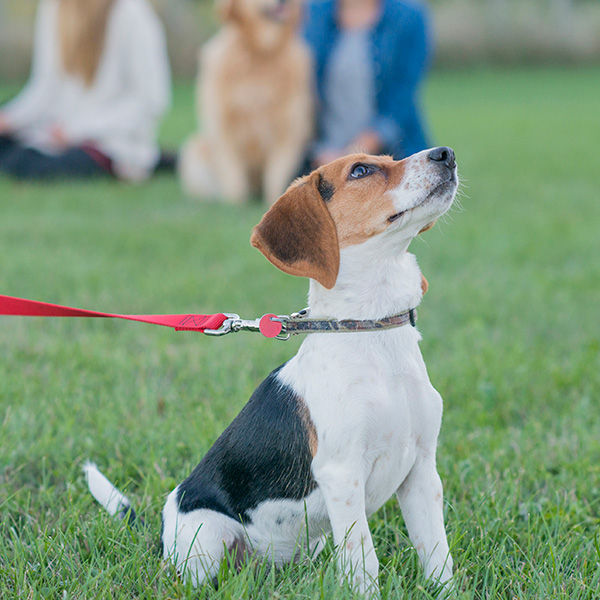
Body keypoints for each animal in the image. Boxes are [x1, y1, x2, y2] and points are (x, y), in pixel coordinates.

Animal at [86, 146, 458, 596]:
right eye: (361, 170)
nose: (445, 153)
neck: (371, 331)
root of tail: (160, 532)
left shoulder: (422, 472)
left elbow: (437, 556)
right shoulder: (342, 474)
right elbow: (364, 562)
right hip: (207, 535)